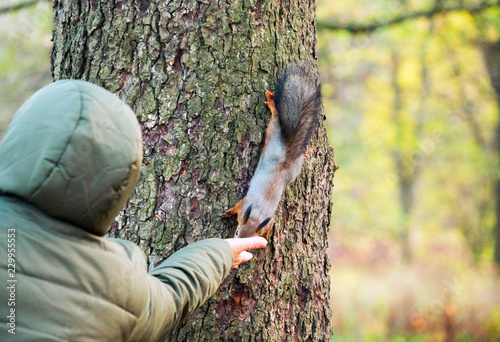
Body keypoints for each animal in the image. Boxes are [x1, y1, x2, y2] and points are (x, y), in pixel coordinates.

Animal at [222, 65, 322, 240]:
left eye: (251, 238)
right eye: (236, 232)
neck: (257, 216)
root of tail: (287, 151)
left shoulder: (266, 219)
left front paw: (265, 237)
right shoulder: (244, 205)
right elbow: (236, 207)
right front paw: (228, 213)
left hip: (286, 159)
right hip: (275, 136)